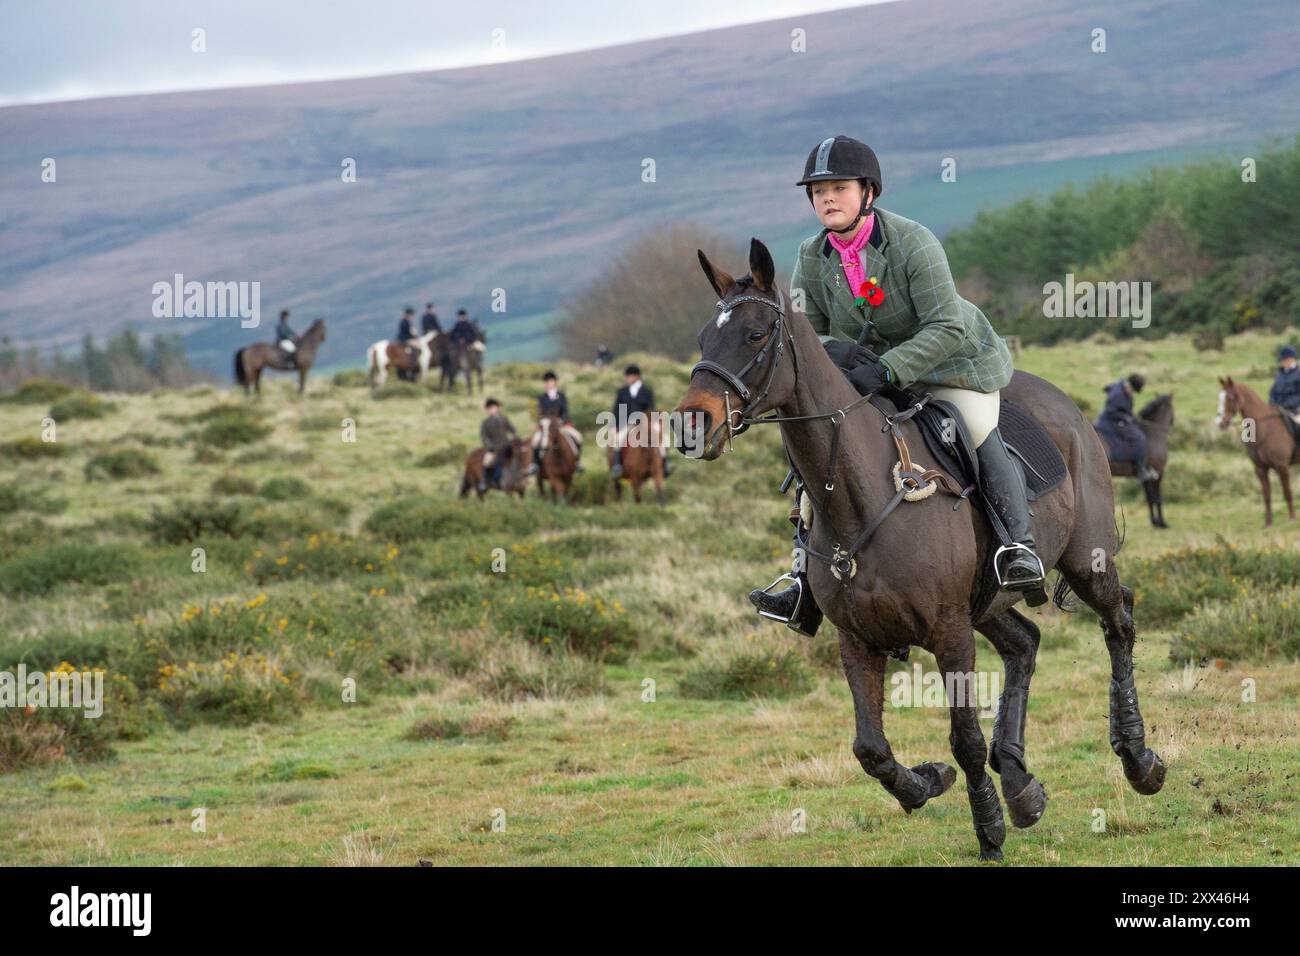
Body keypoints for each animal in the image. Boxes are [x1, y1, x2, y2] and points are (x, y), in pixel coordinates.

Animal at [676, 238, 1164, 858]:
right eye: (701, 338)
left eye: (757, 334)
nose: (690, 426)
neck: (863, 497)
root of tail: (1064, 404)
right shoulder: (857, 638)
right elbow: (870, 749)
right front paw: (927, 783)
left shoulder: (950, 633)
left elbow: (965, 739)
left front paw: (988, 830)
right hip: (988, 601)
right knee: (1024, 644)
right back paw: (1021, 785)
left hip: (1084, 561)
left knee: (1118, 620)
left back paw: (1137, 759)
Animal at [1102, 395, 1175, 530]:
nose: (1173, 421)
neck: (1154, 433)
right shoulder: (1159, 472)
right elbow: (1157, 498)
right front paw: (1162, 523)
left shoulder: (1147, 476)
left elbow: (1149, 498)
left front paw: (1154, 522)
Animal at [1211, 374, 1294, 522]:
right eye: (1220, 397)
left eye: (1230, 398)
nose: (1220, 423)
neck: (1266, 429)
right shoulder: (1260, 468)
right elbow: (1266, 494)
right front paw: (1268, 522)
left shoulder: (1282, 466)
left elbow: (1287, 492)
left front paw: (1292, 518)